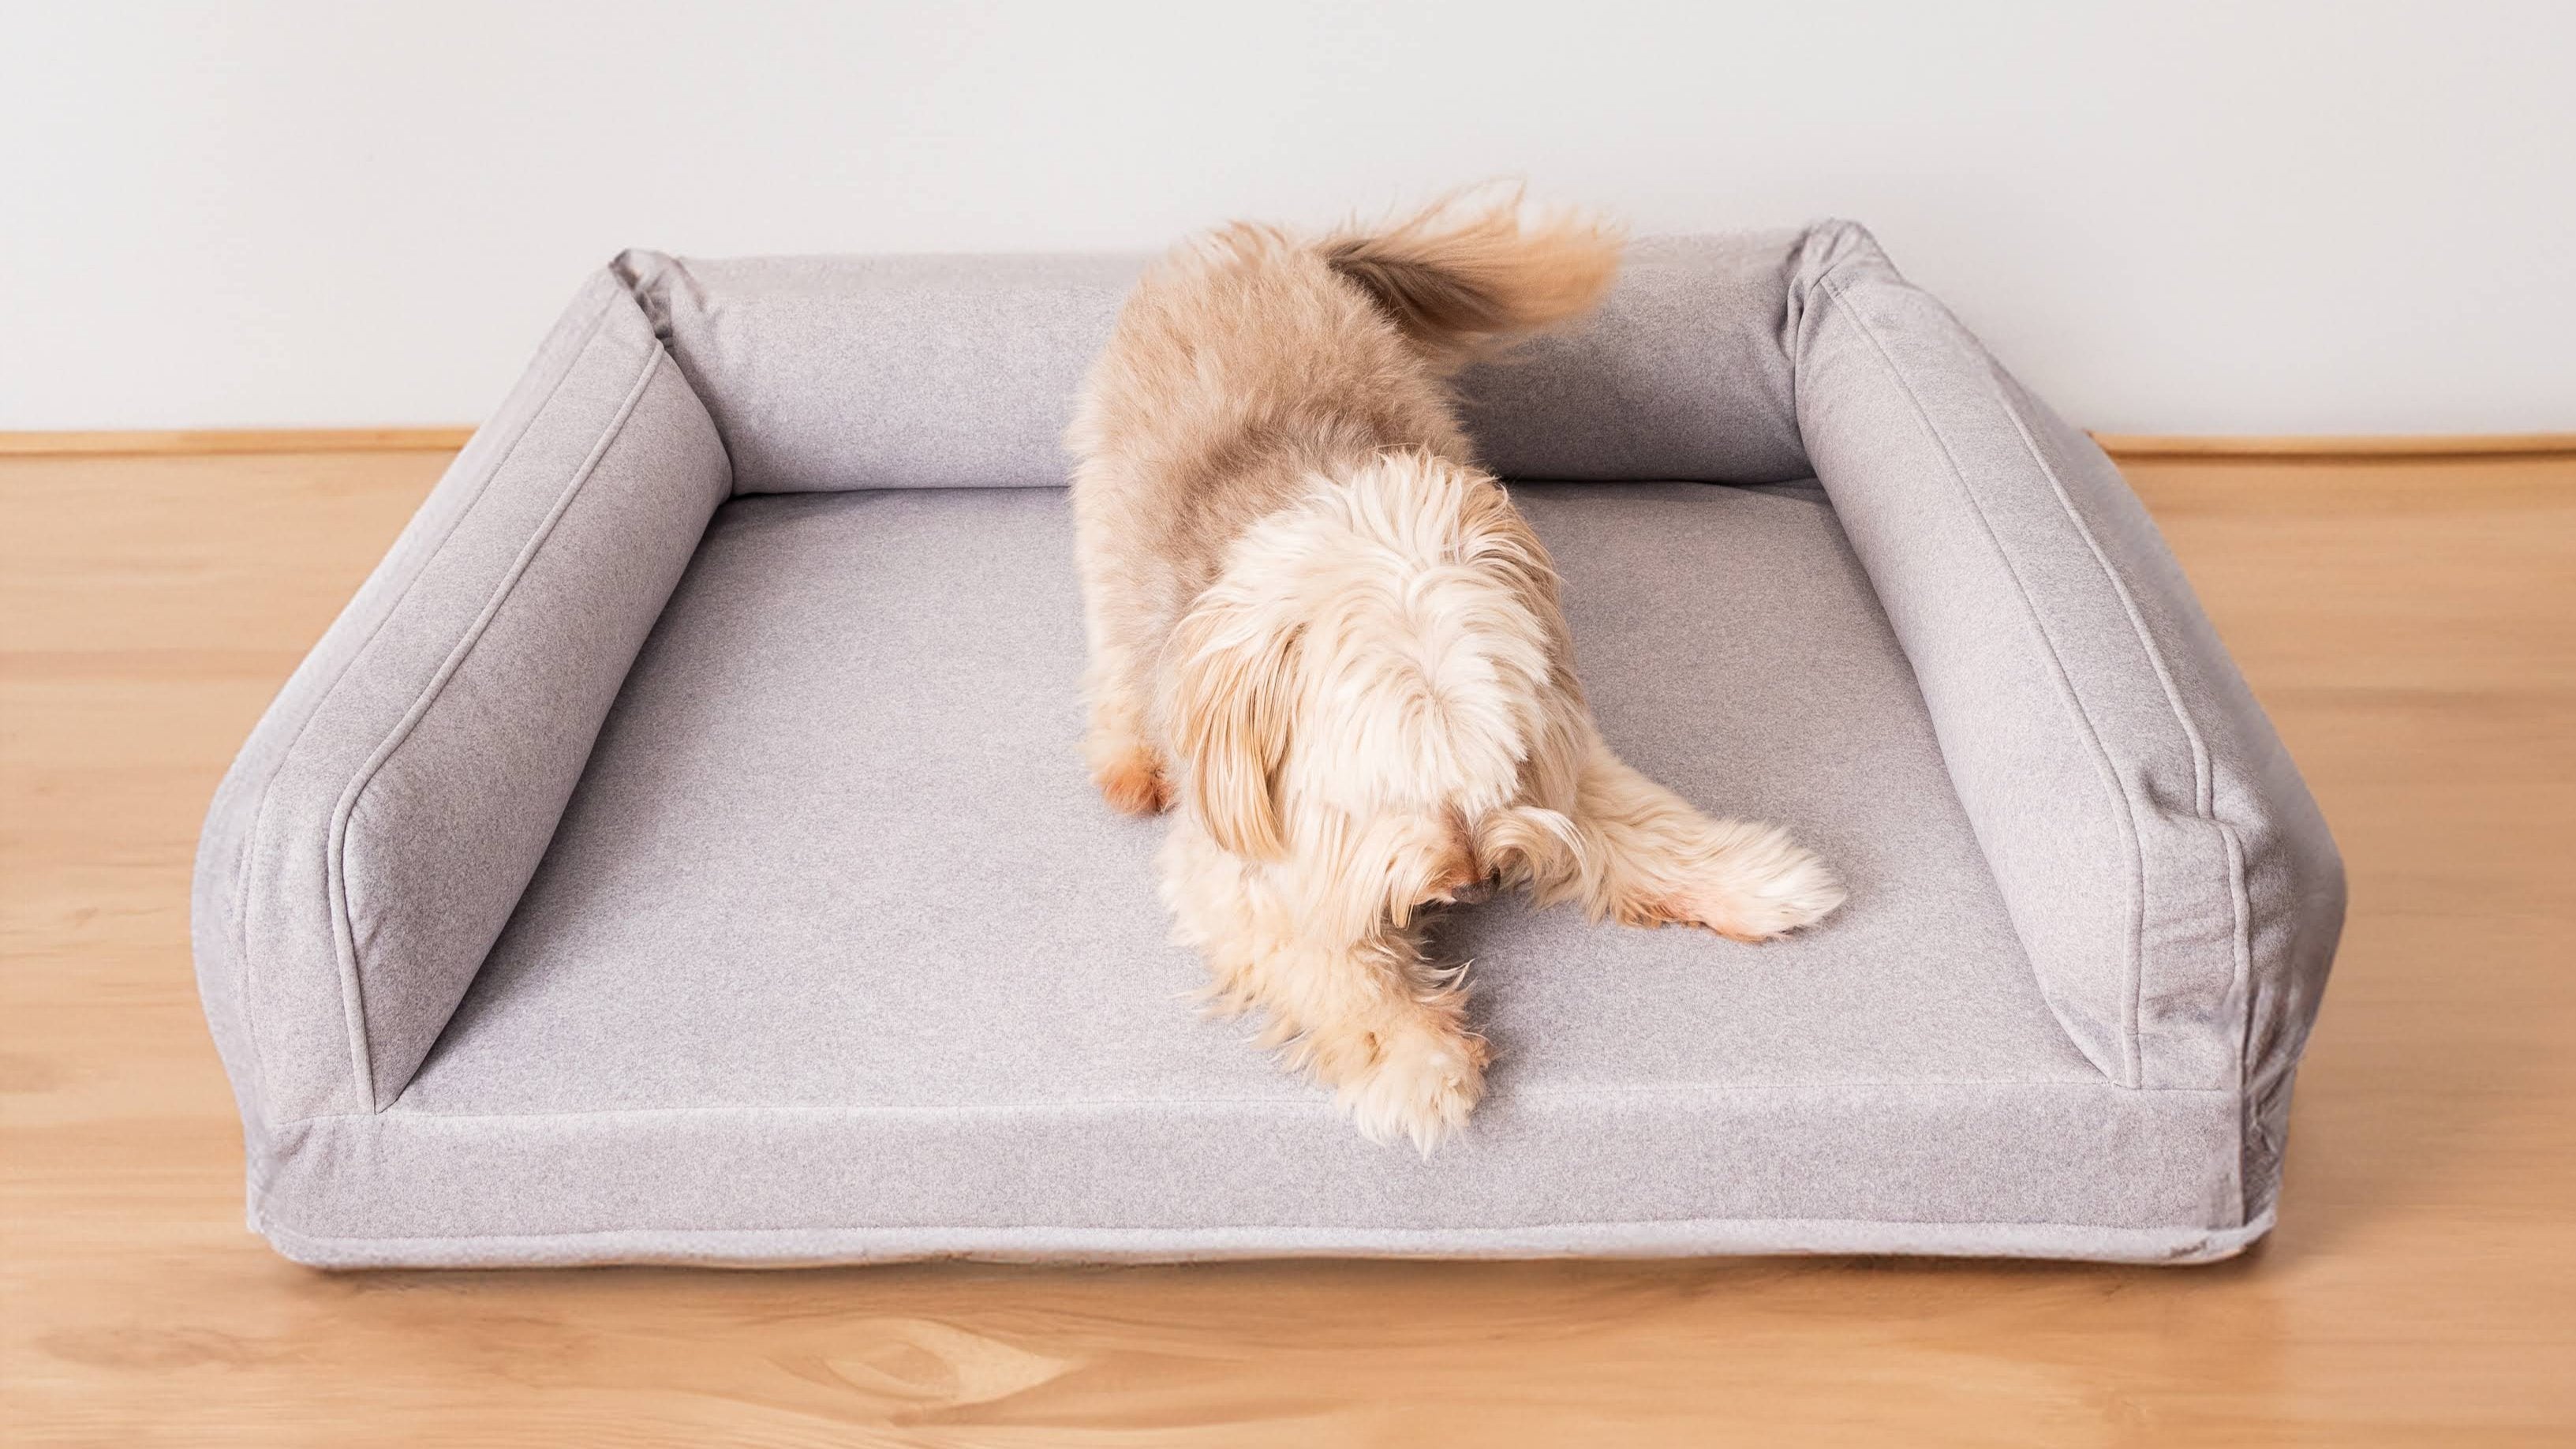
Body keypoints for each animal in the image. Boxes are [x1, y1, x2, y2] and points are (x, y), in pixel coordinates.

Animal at [1066, 194, 1854, 1150]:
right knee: (1115, 651)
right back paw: (1128, 759)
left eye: (1496, 767)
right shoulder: (1241, 865)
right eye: (1385, 787)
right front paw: (1416, 1062)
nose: (1474, 882)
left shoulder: (1556, 738)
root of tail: (1251, 240)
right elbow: (1333, 962)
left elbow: (1639, 822)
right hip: (1107, 517)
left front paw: (1754, 881)